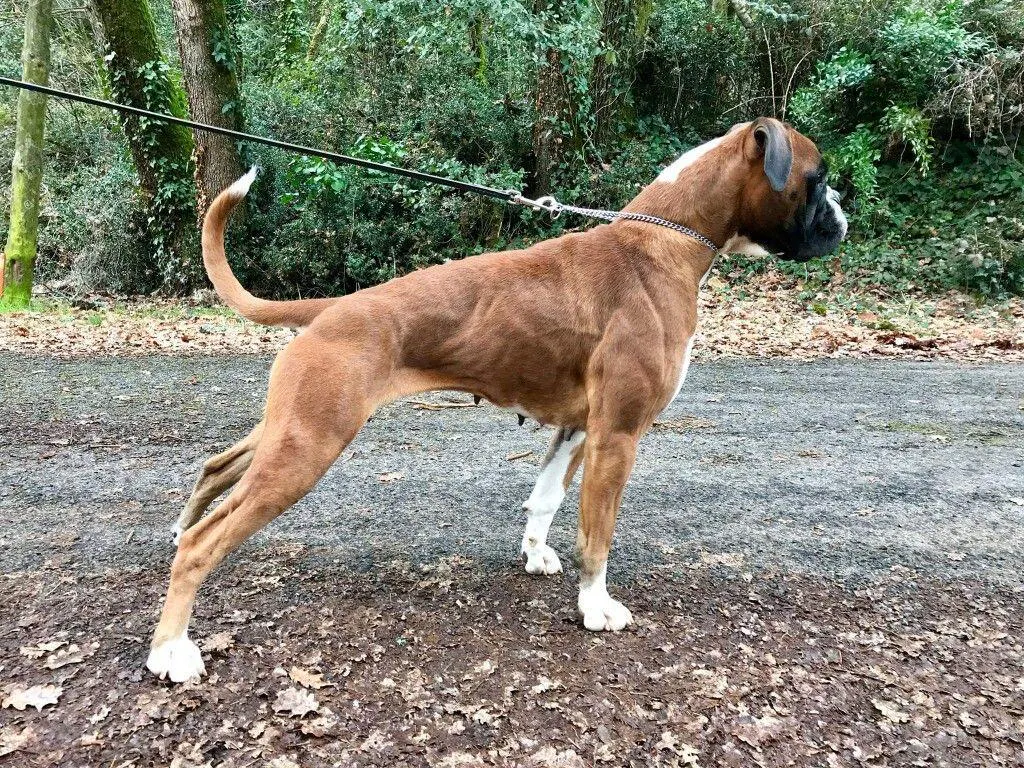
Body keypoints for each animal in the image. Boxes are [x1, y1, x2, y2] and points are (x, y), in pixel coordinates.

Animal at [146, 118, 847, 682]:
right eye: (817, 180)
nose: (842, 215)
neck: (666, 242)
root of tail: (329, 309)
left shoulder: (578, 429)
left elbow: (546, 498)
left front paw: (536, 555)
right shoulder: (618, 435)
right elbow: (598, 535)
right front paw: (596, 608)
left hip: (288, 429)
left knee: (216, 468)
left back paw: (180, 524)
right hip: (307, 447)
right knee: (204, 545)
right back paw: (171, 649)